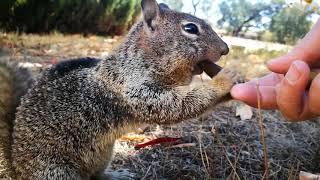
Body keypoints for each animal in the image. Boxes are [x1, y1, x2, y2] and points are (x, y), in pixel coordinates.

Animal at [0, 0, 242, 179]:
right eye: (190, 28)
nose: (225, 49)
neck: (138, 60)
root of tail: (18, 167)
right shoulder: (132, 89)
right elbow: (174, 105)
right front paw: (225, 79)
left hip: (102, 156)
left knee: (96, 176)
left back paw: (116, 175)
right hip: (57, 170)